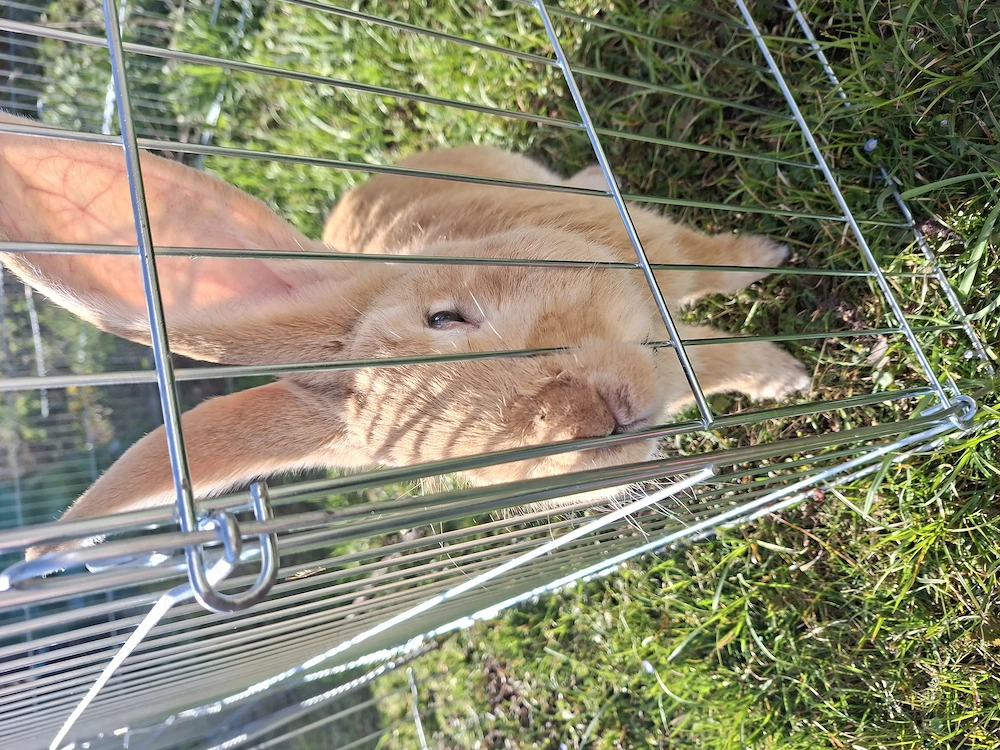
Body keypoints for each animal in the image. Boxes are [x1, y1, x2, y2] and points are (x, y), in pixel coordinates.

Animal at [0, 112, 810, 561]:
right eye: (451, 466)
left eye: (445, 317)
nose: (588, 422)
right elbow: (714, 356)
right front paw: (786, 376)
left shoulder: (653, 251)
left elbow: (707, 265)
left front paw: (773, 271)